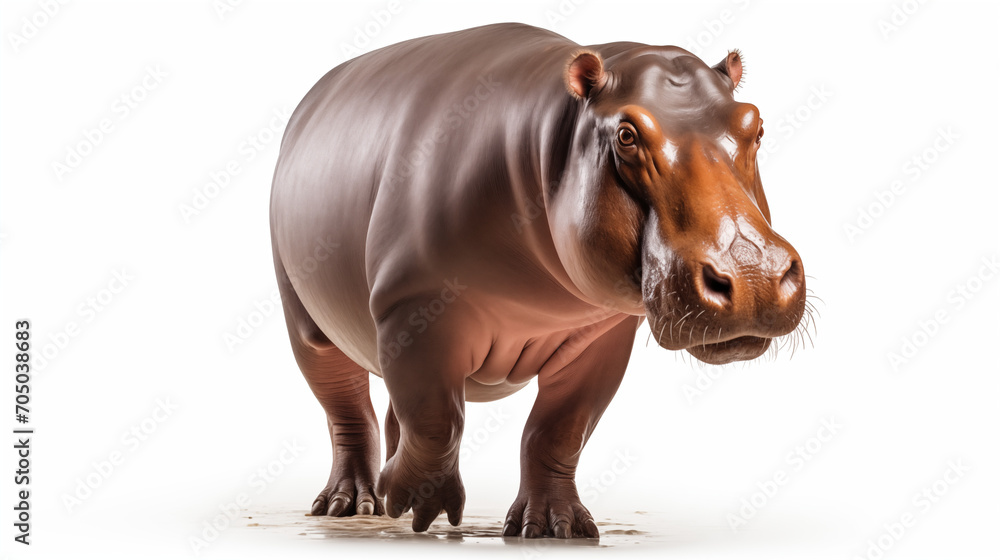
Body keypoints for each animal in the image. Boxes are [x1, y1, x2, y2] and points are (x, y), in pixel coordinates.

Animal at [269, 22, 806, 539]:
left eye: (756, 125)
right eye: (626, 134)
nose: (752, 273)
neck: (550, 139)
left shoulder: (604, 336)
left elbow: (558, 430)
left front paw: (555, 527)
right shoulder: (414, 307)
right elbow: (437, 420)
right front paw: (418, 506)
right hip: (306, 322)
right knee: (346, 408)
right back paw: (352, 503)